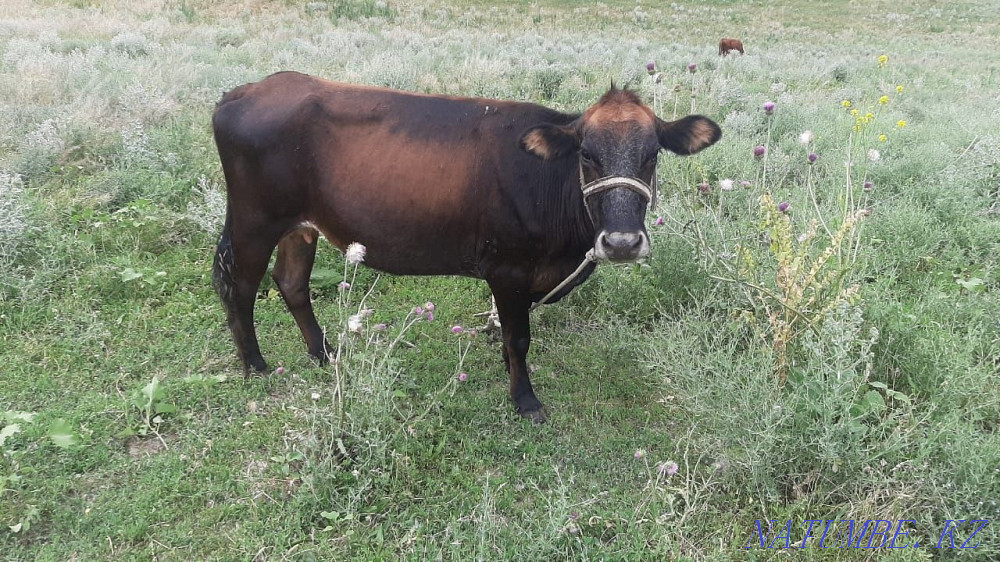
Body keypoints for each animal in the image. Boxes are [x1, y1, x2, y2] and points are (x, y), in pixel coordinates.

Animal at [211, 71, 721, 423]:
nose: (621, 242)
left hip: (300, 226)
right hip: (256, 221)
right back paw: (255, 364)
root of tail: (249, 89)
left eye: (652, 155)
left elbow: (511, 330)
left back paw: (324, 354)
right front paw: (525, 399)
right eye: (587, 154)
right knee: (240, 287)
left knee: (292, 282)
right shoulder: (508, 268)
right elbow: (519, 335)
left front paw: (508, 369)